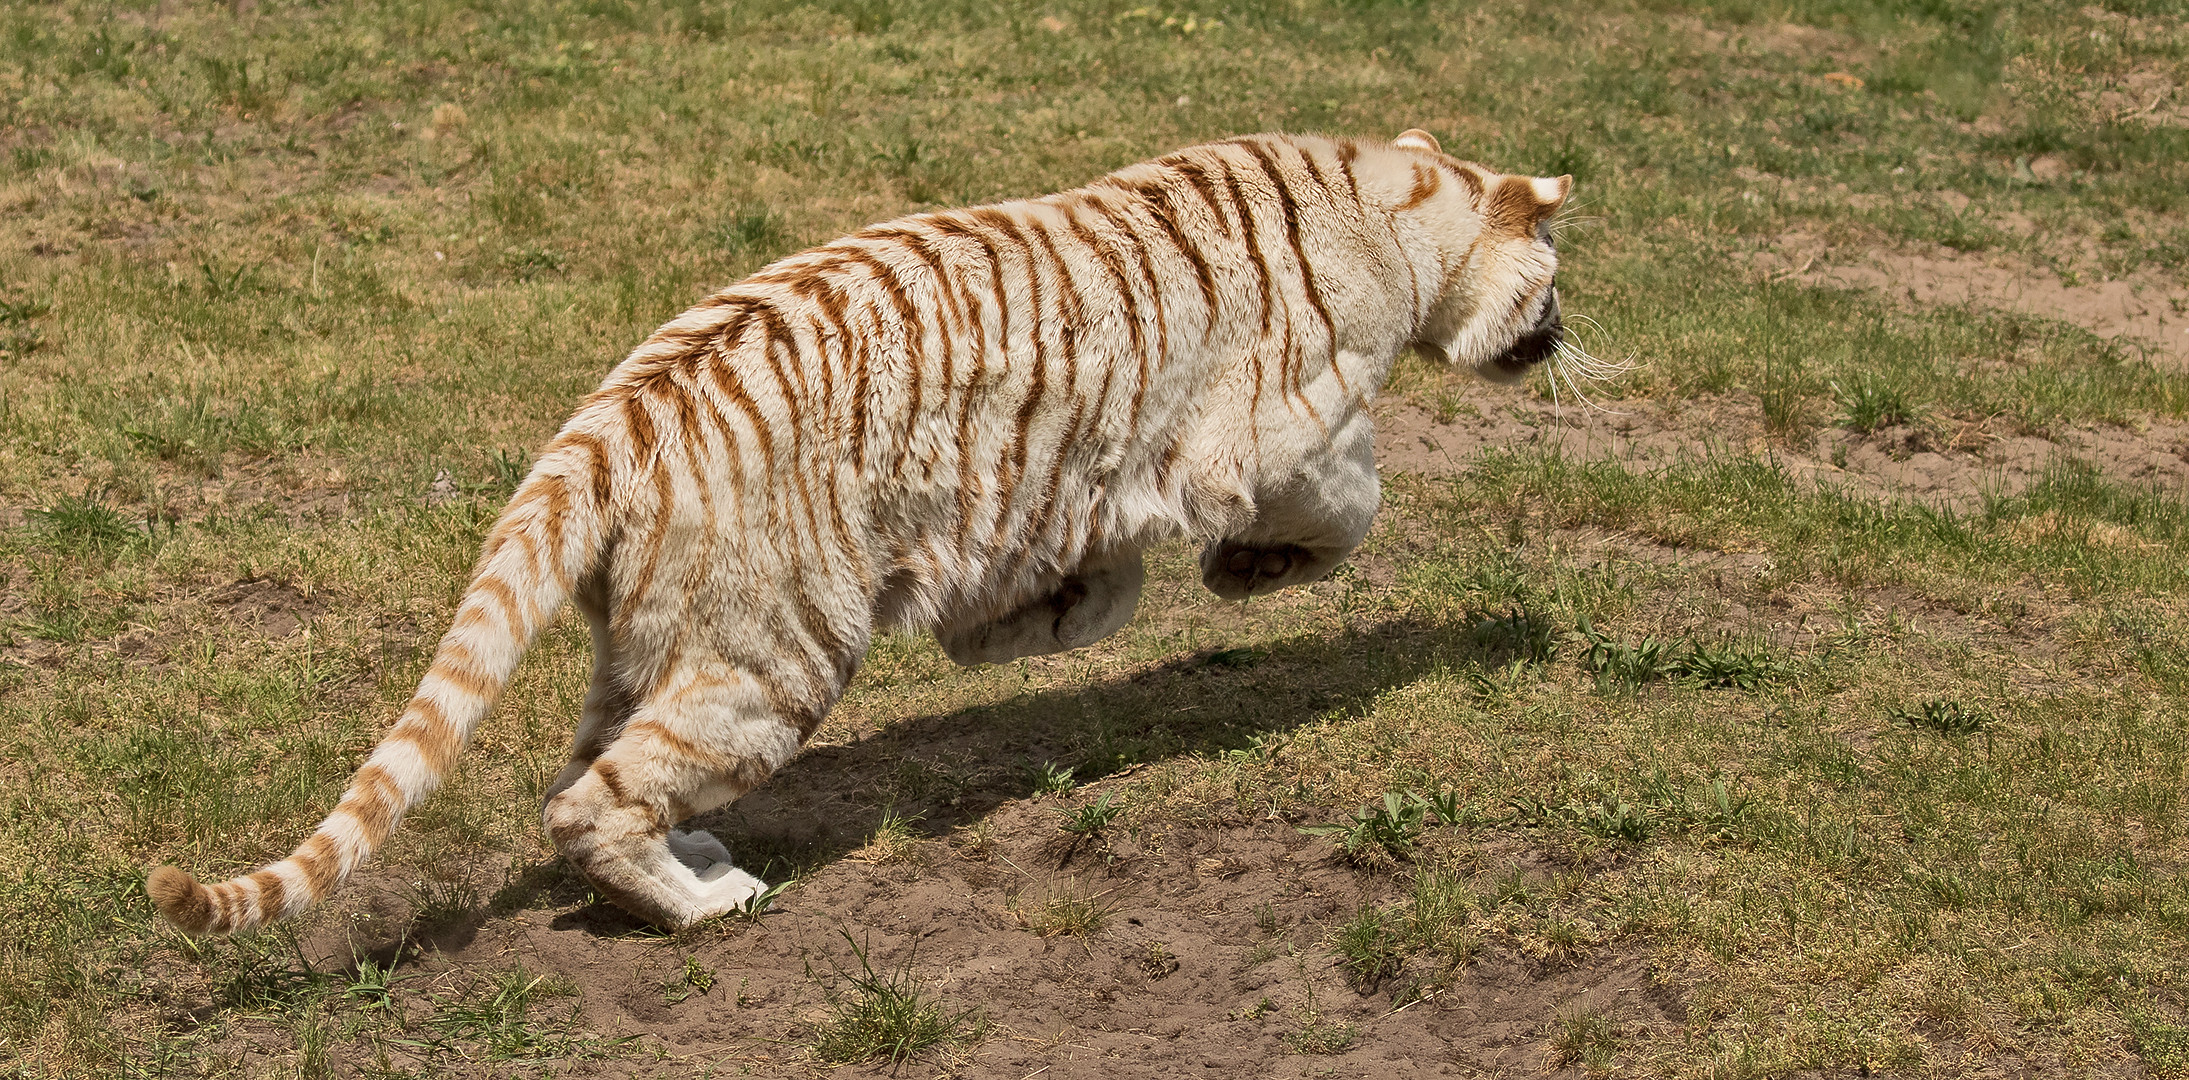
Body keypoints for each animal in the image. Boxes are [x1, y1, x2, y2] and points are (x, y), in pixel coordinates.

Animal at [149, 126, 1576, 928]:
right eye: (1556, 276)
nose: (1562, 331)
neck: (1394, 200)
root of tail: (609, 417)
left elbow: (1100, 579)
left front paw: (1035, 625)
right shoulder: (1280, 427)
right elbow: (1353, 499)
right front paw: (1251, 573)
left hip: (660, 636)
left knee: (578, 775)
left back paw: (693, 855)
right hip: (773, 650)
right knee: (592, 801)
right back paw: (705, 906)